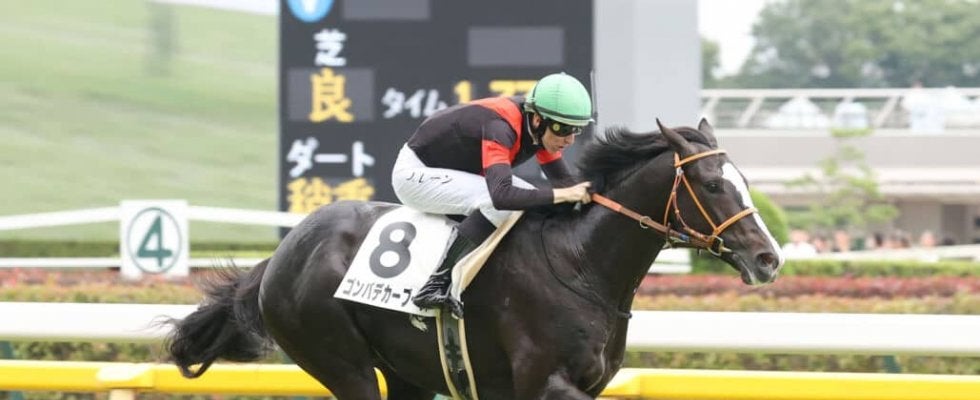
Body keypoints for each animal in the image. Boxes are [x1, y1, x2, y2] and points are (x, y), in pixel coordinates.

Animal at [166, 118, 784, 399]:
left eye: (742, 180)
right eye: (712, 184)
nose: (768, 257)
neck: (582, 266)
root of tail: (279, 256)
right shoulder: (543, 383)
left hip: (406, 372)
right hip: (339, 359)